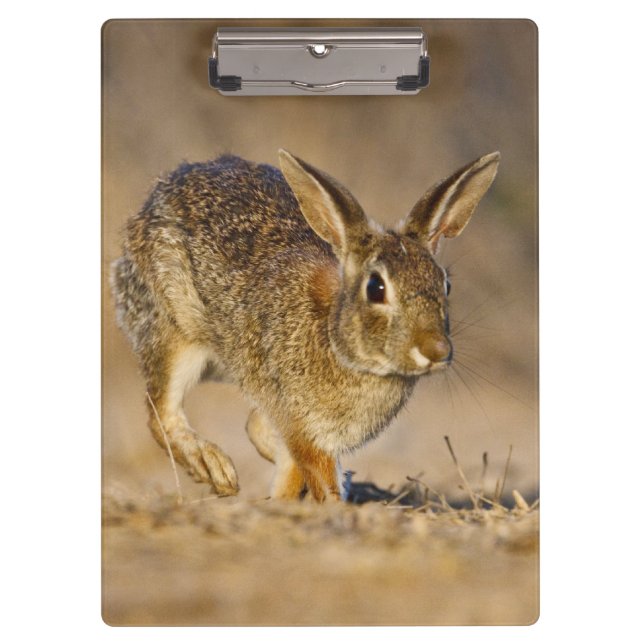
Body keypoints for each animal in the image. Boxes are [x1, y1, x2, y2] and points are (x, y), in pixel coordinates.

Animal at [111, 149, 499, 501]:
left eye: (445, 285)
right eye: (376, 288)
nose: (436, 350)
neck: (337, 341)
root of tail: (158, 194)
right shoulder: (302, 426)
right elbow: (316, 476)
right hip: (175, 331)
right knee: (162, 413)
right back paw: (214, 467)